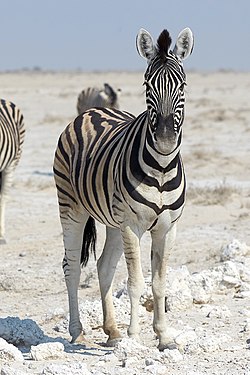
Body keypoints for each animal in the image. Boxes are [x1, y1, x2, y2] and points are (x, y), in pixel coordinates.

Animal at [53, 27, 194, 352]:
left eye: (182, 84)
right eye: (147, 84)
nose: (165, 140)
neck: (162, 167)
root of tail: (92, 110)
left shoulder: (168, 227)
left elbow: (159, 283)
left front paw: (164, 337)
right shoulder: (132, 224)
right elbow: (135, 282)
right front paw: (134, 337)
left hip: (113, 219)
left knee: (103, 266)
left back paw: (112, 331)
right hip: (71, 207)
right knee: (71, 266)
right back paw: (78, 332)